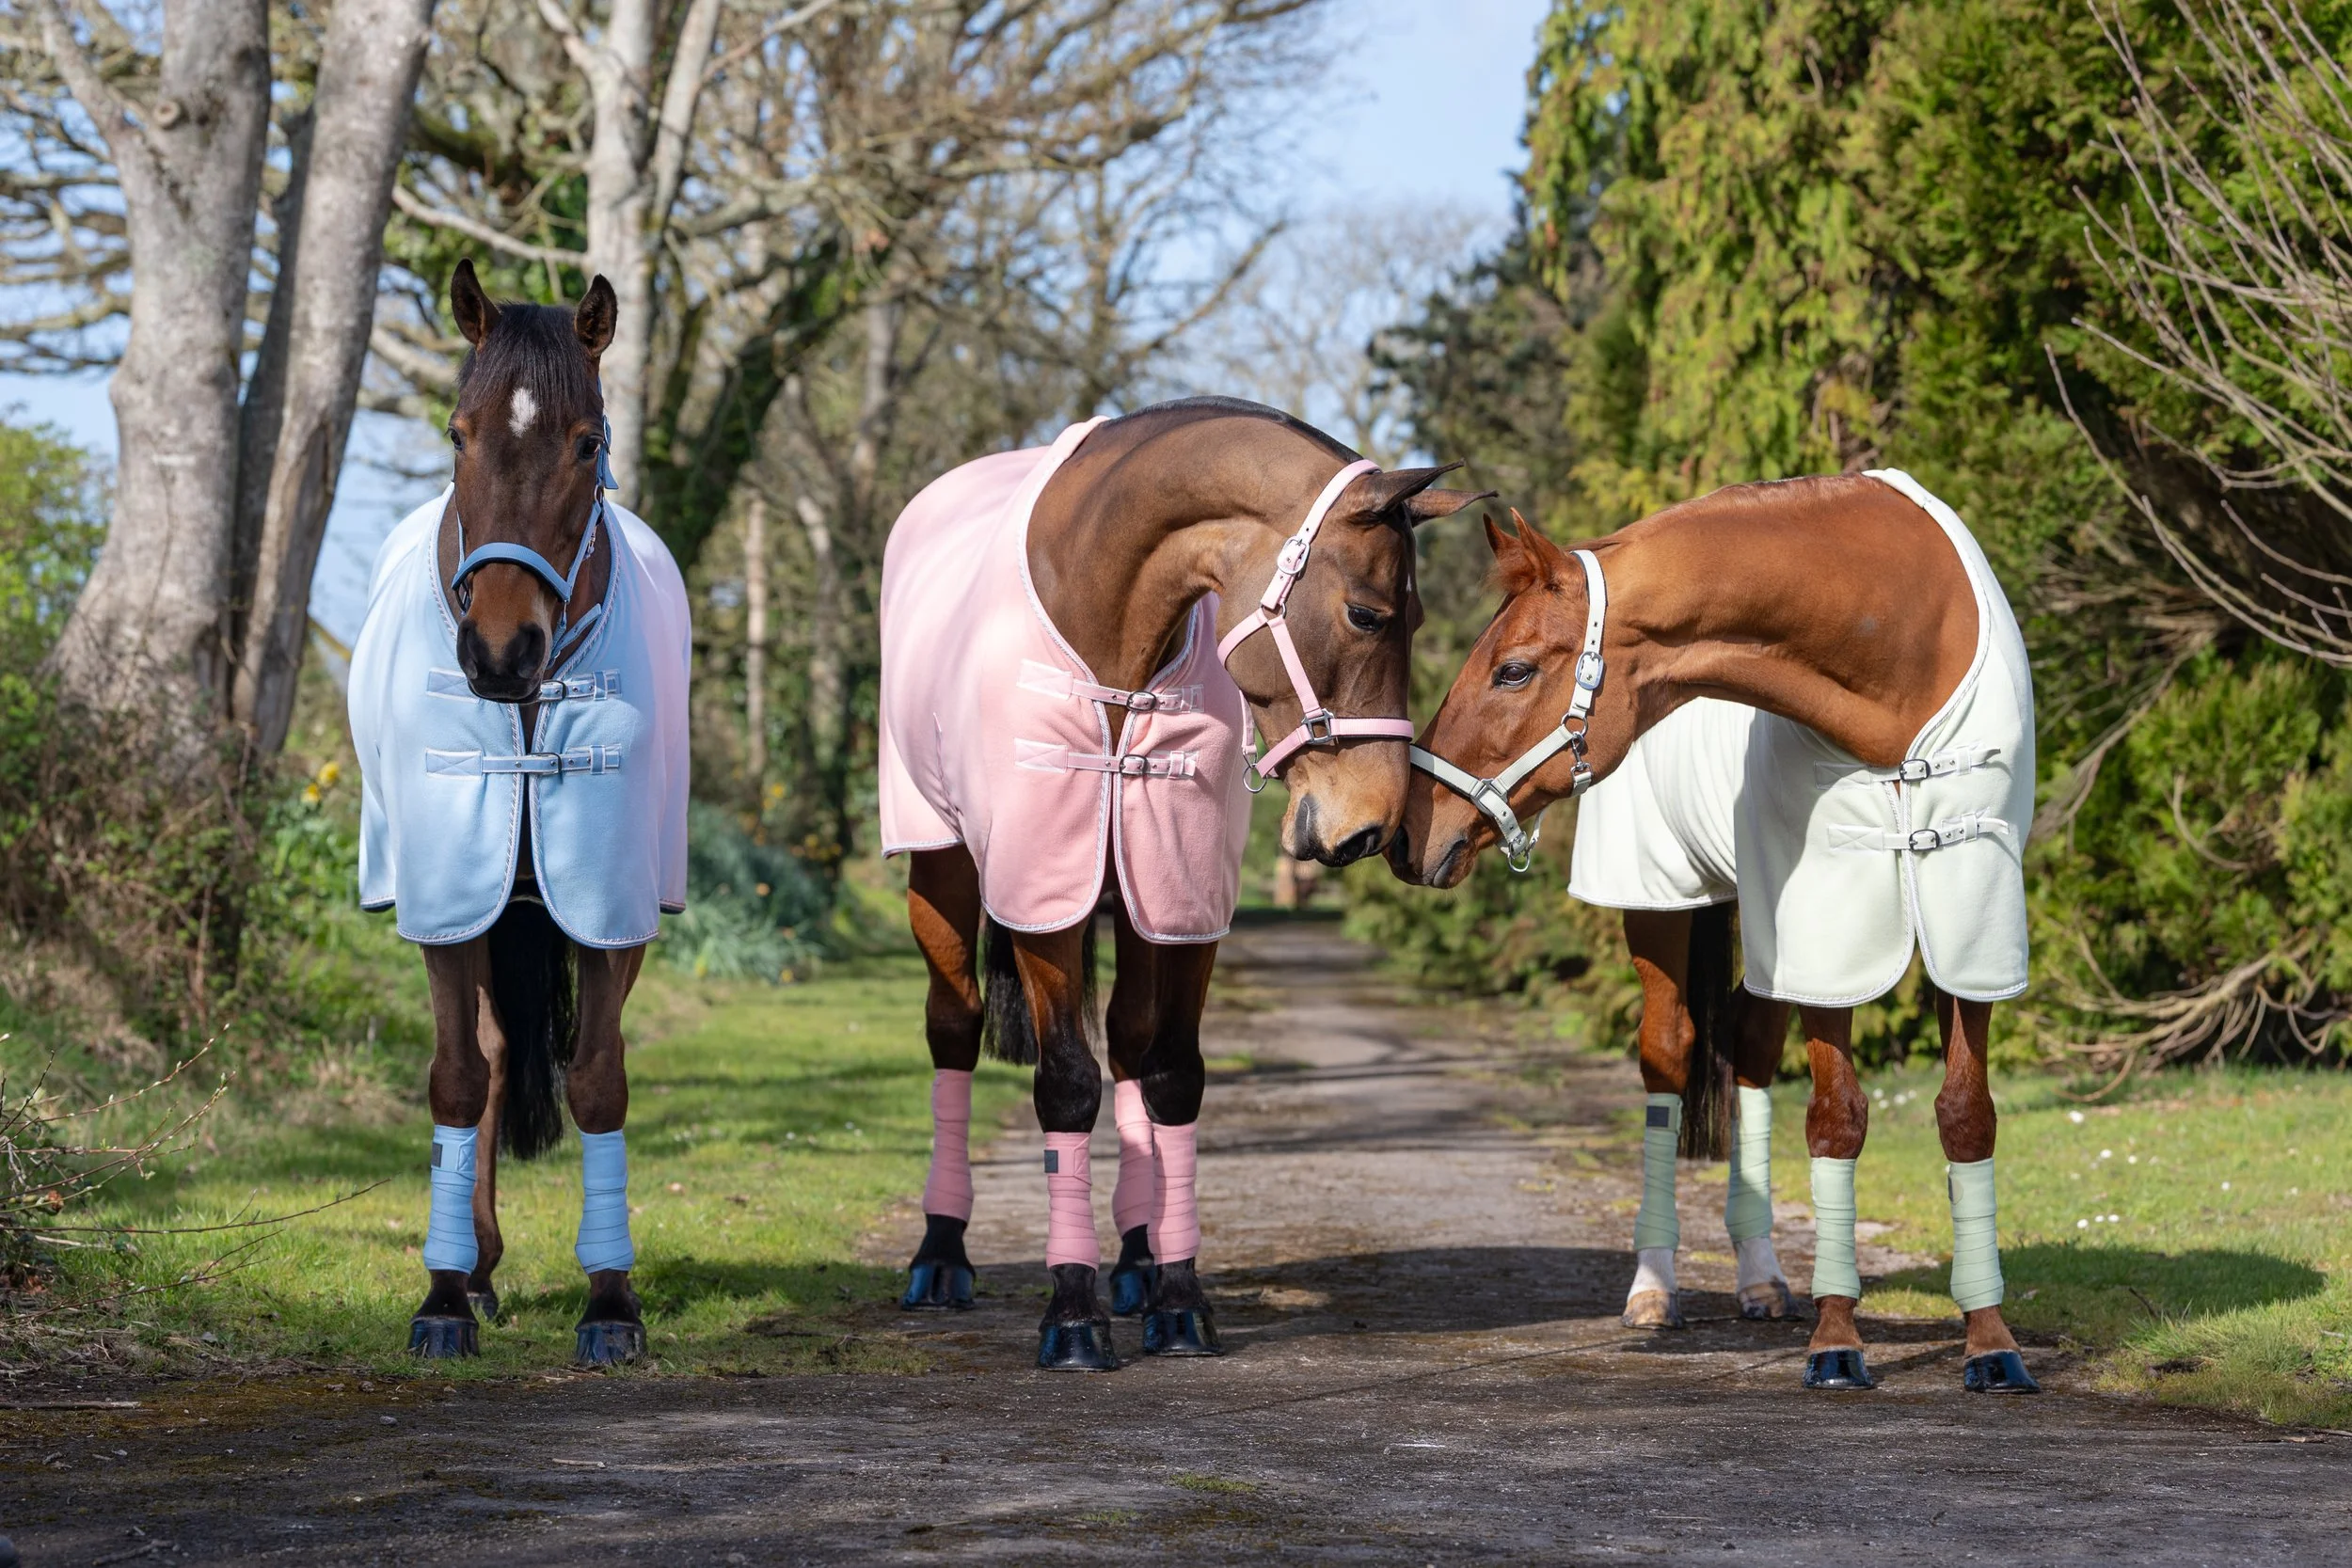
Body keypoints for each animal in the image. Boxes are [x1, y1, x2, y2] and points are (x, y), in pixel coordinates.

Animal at [348, 258, 691, 1365]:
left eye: (587, 443)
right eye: (458, 432)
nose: (500, 651)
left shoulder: (613, 906)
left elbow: (598, 1082)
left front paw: (611, 1300)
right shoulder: (449, 902)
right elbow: (459, 1078)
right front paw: (444, 1296)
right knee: (495, 1061)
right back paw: (480, 1265)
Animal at [877, 402, 1487, 1369]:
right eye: (1366, 612)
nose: (1375, 826)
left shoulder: (1187, 902)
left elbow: (1171, 1077)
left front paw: (1175, 1296)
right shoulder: (1041, 893)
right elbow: (1067, 1084)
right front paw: (1072, 1313)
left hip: (1134, 895)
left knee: (1130, 1045)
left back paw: (1133, 1254)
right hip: (944, 868)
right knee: (954, 1030)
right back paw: (941, 1255)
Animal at [1395, 473, 2042, 1394]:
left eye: (1513, 668)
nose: (1410, 834)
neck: (1899, 653)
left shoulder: (1969, 923)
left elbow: (1966, 1116)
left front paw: (1990, 1341)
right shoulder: (1828, 934)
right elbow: (1837, 1118)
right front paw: (1837, 1341)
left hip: (1773, 926)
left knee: (1749, 1045)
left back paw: (1764, 1276)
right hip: (1663, 907)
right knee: (1668, 1060)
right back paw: (1655, 1285)